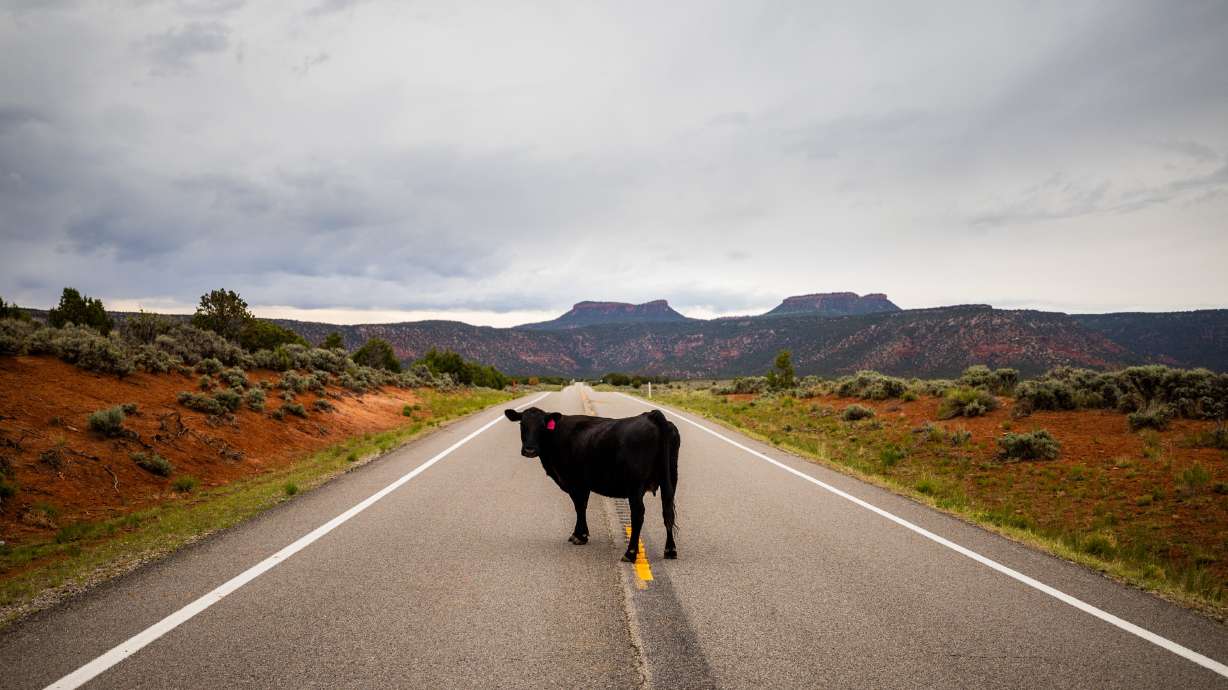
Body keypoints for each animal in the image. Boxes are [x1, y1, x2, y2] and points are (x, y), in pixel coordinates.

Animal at [504, 406, 680, 561]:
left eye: (542, 427)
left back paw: (630, 553)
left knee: (638, 514)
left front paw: (579, 536)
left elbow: (579, 506)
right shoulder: (584, 484)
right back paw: (670, 550)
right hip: (670, 479)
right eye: (522, 424)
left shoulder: (575, 482)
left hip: (635, 486)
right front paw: (580, 534)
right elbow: (582, 506)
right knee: (667, 511)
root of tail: (650, 415)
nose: (530, 450)